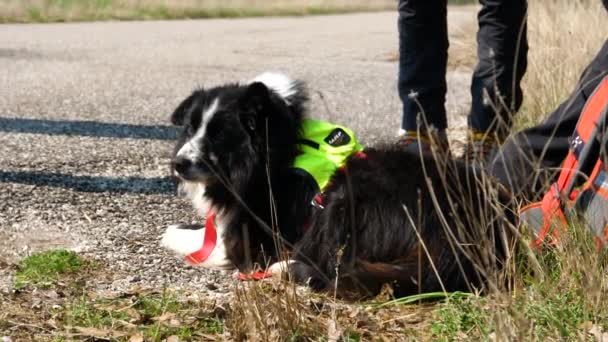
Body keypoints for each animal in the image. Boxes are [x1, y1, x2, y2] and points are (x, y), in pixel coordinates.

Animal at [162, 72, 512, 296]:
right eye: (190, 129)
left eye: (219, 136)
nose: (177, 164)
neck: (270, 155)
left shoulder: (249, 240)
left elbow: (179, 235)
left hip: (345, 198)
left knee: (334, 266)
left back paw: (286, 270)